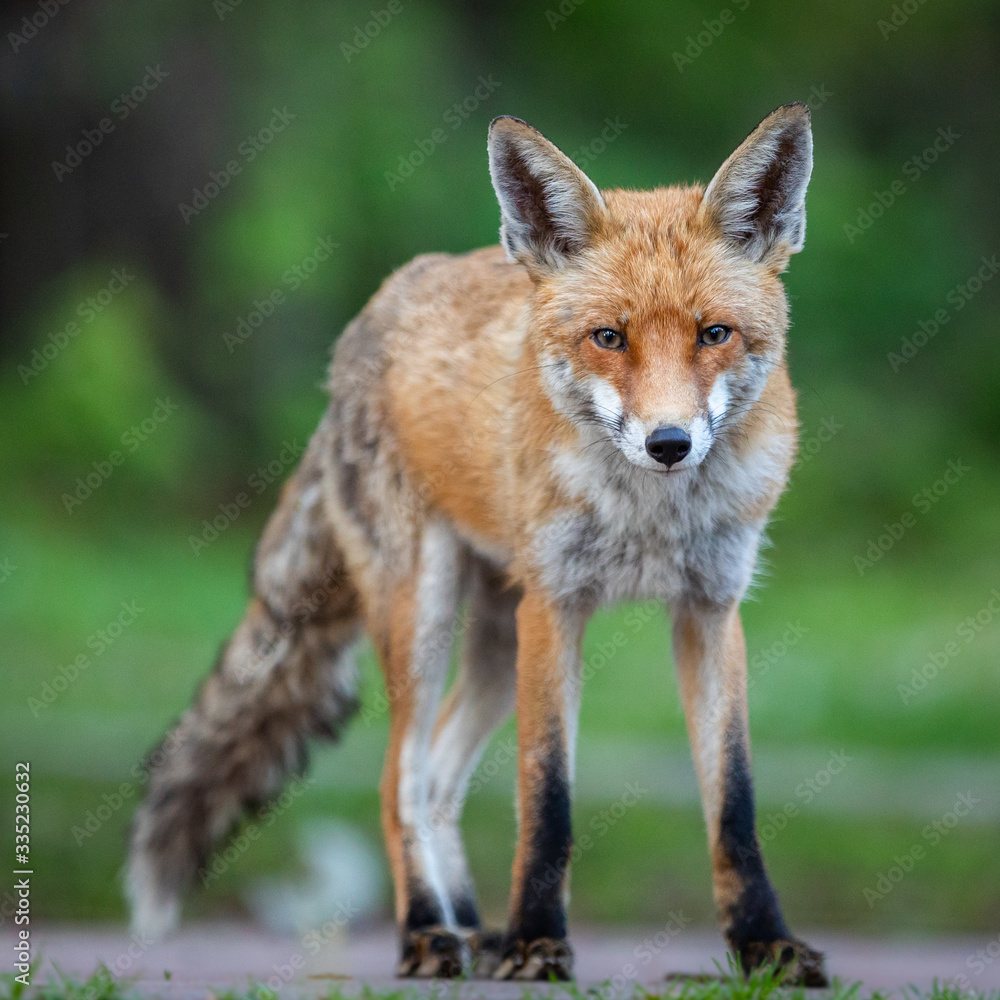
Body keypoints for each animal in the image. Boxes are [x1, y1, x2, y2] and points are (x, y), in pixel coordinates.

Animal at [127, 103, 828, 984]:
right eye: (609, 337)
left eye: (714, 334)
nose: (669, 443)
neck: (649, 518)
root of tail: (370, 316)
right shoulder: (555, 610)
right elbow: (547, 800)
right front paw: (536, 941)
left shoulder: (709, 611)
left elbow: (733, 804)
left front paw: (763, 945)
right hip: (424, 619)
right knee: (398, 781)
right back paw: (429, 932)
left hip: (495, 649)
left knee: (435, 783)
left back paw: (468, 925)